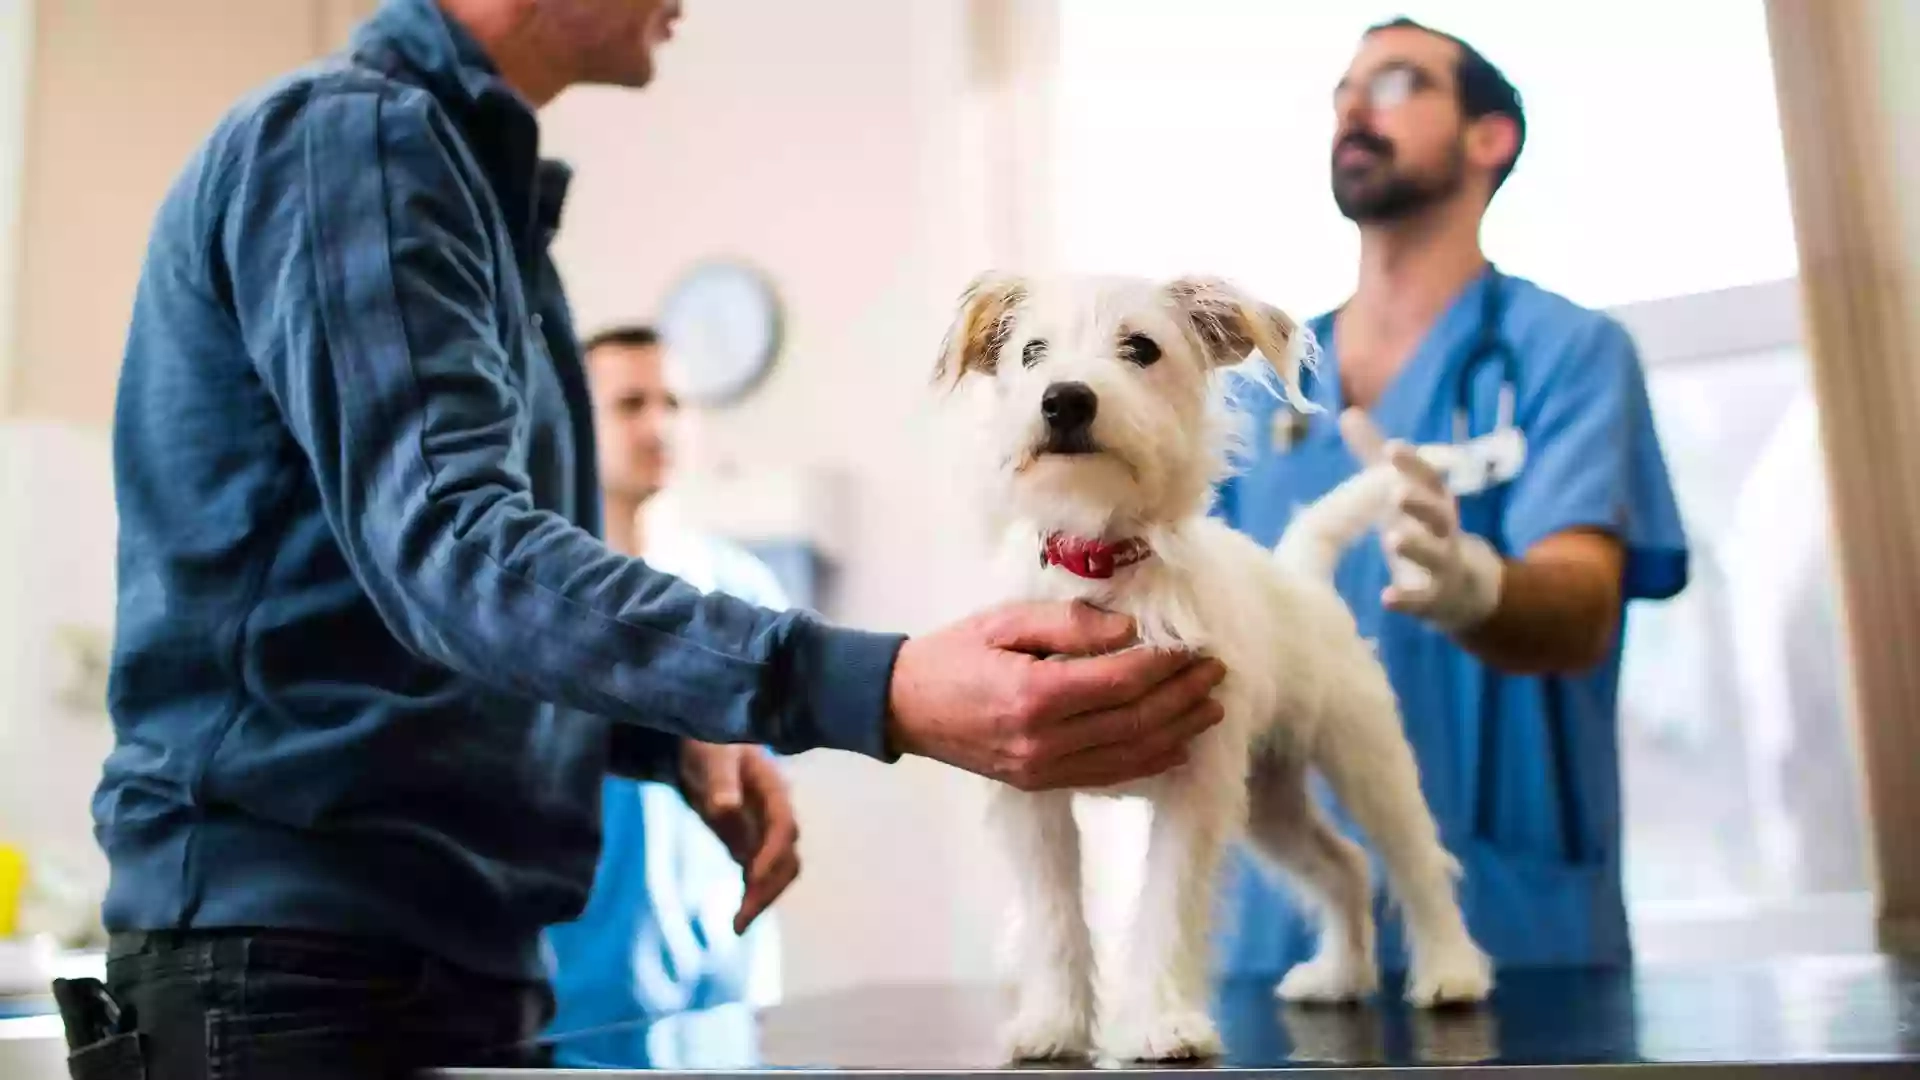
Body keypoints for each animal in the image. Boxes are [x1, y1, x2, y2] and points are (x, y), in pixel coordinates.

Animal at [936, 269, 1489, 1060]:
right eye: (1032, 352)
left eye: (1141, 348)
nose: (1065, 398)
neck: (1102, 564)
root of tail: (1299, 574)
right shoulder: (1030, 786)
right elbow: (1053, 917)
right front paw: (1054, 1024)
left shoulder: (1194, 790)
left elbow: (1167, 905)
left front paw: (1164, 1023)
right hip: (1270, 800)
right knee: (1344, 866)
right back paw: (1340, 974)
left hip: (1368, 763)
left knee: (1416, 863)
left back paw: (1450, 972)